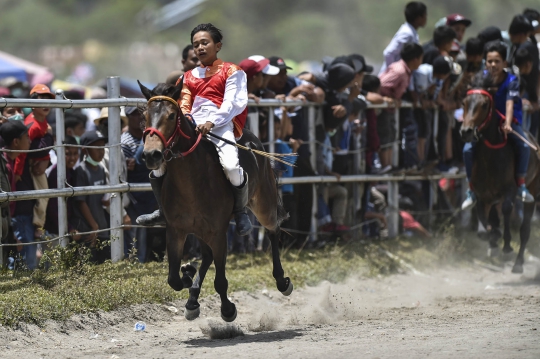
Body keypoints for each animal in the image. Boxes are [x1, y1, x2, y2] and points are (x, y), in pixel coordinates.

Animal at [137, 80, 294, 322]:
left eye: (172, 115)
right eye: (145, 115)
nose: (151, 155)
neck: (191, 181)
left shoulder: (219, 233)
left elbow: (220, 280)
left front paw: (227, 309)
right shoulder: (176, 231)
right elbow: (173, 279)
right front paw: (187, 275)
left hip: (263, 204)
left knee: (273, 230)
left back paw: (281, 280)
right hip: (201, 230)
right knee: (207, 256)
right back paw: (192, 298)